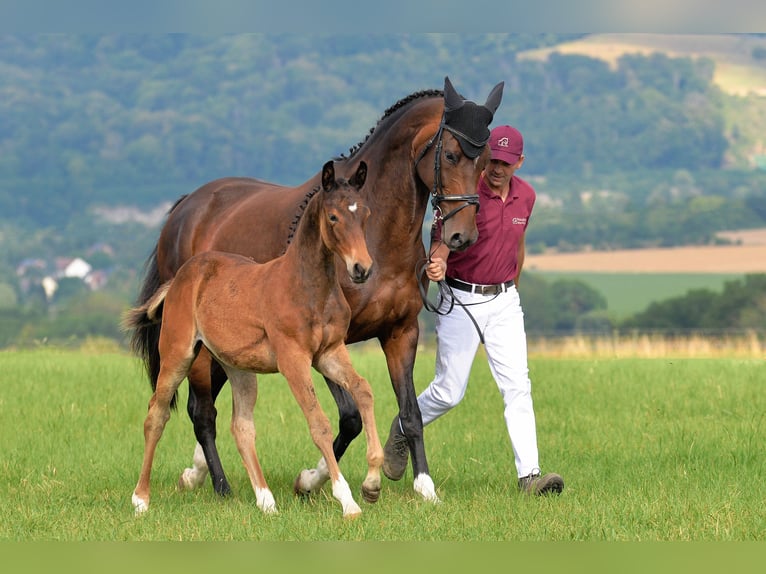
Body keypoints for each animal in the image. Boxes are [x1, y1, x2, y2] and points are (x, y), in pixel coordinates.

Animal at [125, 161, 380, 518]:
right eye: (333, 217)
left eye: (365, 213)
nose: (361, 269)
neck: (308, 286)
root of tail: (179, 278)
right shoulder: (293, 360)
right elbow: (319, 423)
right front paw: (347, 500)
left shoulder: (329, 353)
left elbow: (364, 390)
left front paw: (372, 483)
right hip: (179, 356)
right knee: (156, 416)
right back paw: (141, 499)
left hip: (239, 368)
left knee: (242, 427)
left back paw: (266, 501)